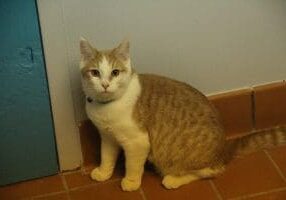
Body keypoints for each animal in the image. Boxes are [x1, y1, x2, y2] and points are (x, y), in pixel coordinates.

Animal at [80, 38, 286, 191]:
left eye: (115, 72)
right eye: (95, 73)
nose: (105, 84)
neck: (107, 107)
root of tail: (224, 148)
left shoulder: (137, 141)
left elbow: (133, 165)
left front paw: (131, 182)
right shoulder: (107, 137)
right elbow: (106, 156)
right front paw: (104, 172)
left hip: (185, 160)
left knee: (210, 171)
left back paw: (173, 179)